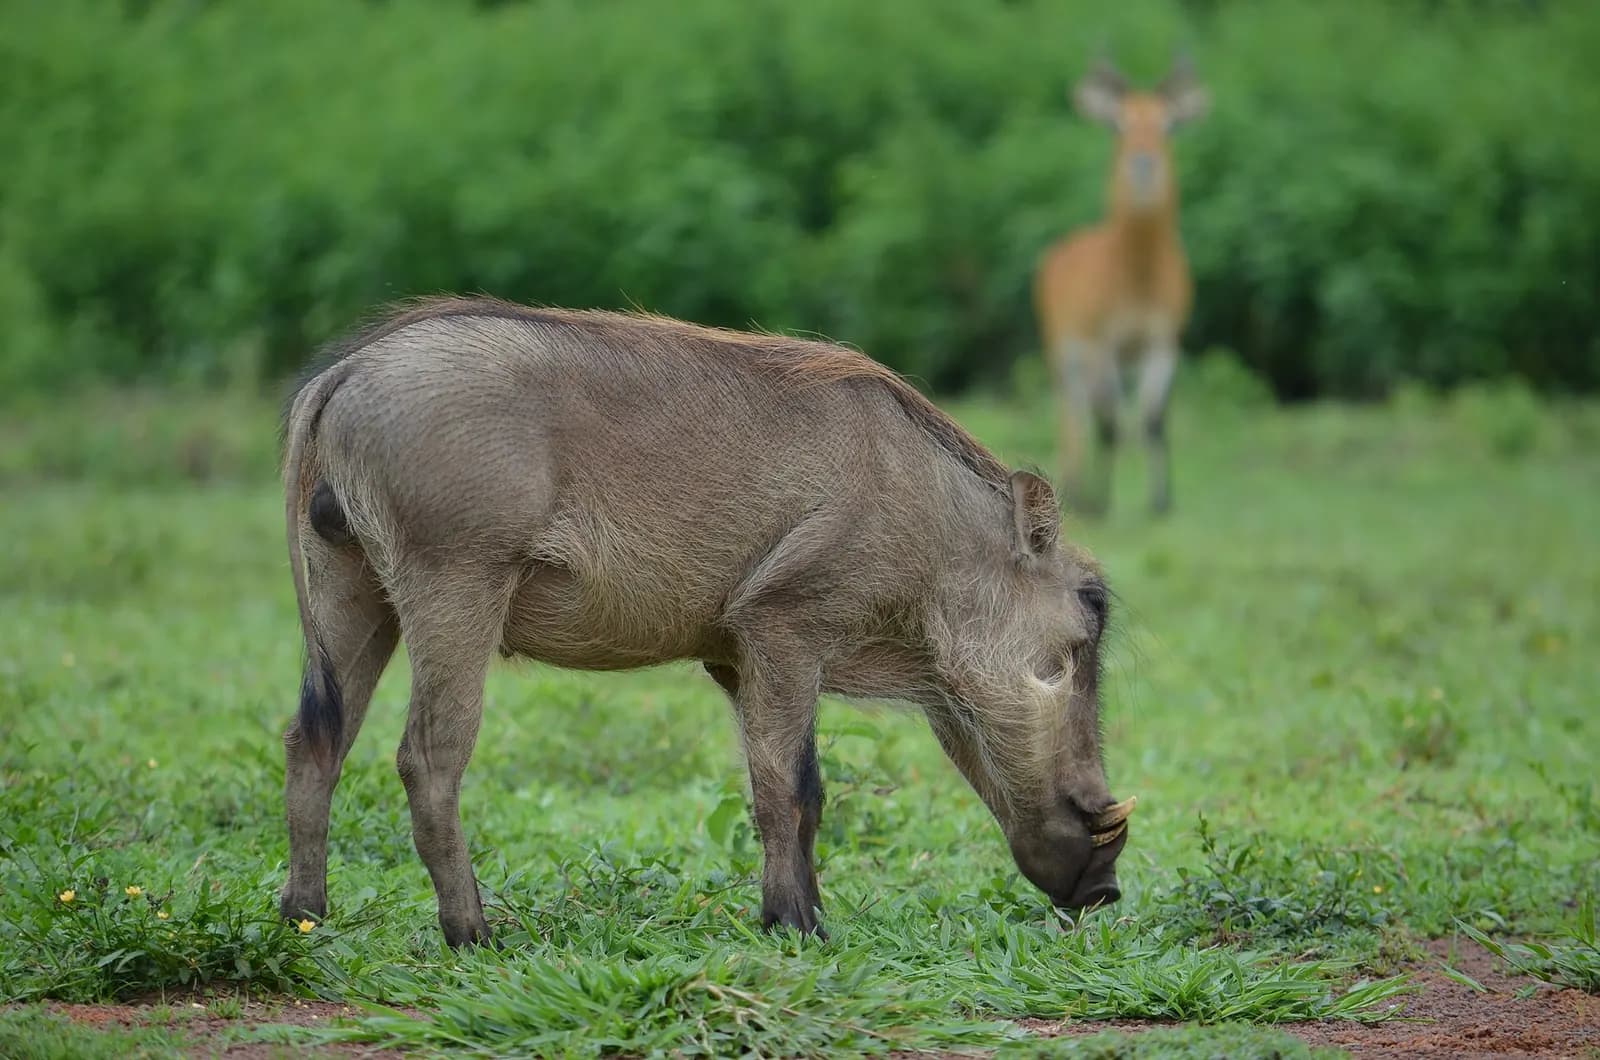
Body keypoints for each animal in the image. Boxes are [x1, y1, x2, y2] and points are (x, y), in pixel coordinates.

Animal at [1033, 56, 1209, 516]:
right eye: (1118, 123)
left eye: (1169, 123)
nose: (1143, 163)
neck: (1137, 280)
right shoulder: (1102, 346)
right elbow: (1109, 424)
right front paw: (1102, 503)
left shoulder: (1163, 343)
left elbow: (1153, 421)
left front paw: (1161, 502)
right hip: (1064, 355)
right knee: (1074, 417)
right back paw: (1076, 493)